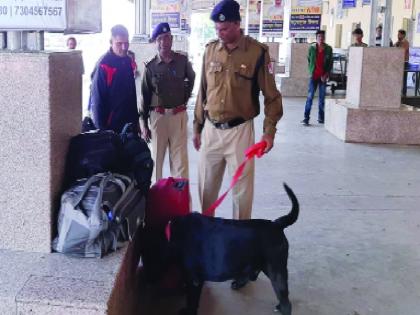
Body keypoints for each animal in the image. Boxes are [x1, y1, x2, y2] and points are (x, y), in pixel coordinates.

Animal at [164, 184, 298, 314]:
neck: (174, 232)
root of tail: (277, 224)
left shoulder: (194, 280)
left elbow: (192, 299)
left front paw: (188, 310)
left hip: (276, 270)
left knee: (285, 301)